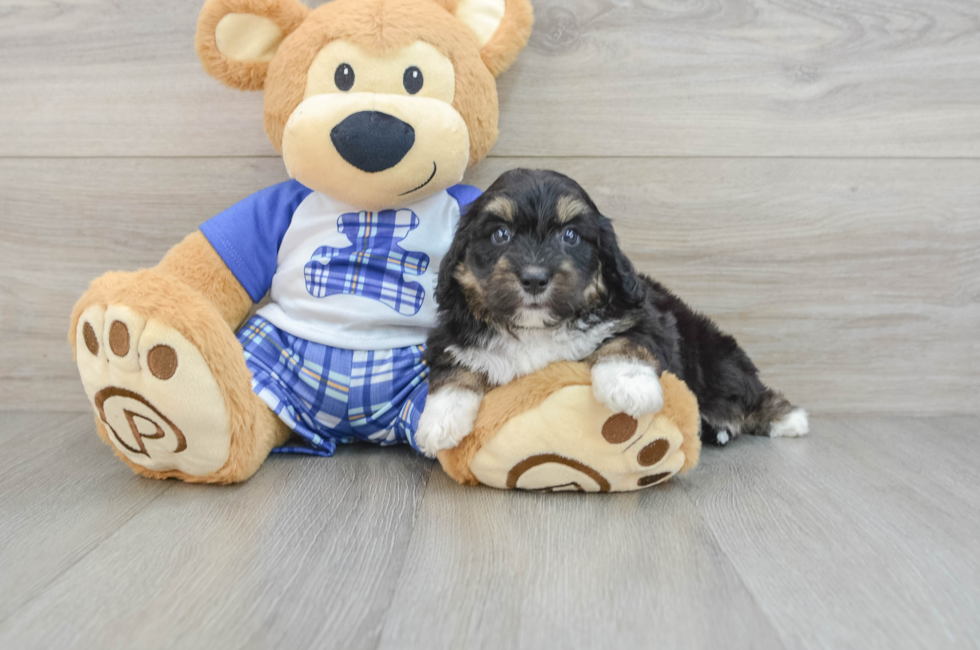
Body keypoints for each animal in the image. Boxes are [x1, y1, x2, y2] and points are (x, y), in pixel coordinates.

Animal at [418, 167, 808, 456]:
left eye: (570, 237)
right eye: (500, 234)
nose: (534, 278)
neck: (538, 328)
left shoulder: (647, 318)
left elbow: (625, 341)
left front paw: (629, 383)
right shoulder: (450, 337)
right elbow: (456, 368)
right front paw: (439, 420)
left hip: (712, 354)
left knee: (746, 393)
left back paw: (785, 420)